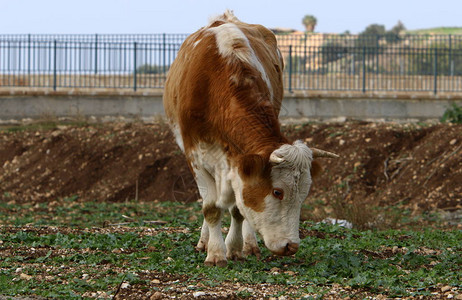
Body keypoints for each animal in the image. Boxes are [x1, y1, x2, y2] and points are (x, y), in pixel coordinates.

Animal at [164, 10, 338, 266]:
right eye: (277, 192)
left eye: (304, 194)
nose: (291, 246)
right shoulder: (195, 156)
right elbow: (211, 208)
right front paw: (215, 253)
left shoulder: (240, 164)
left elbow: (239, 209)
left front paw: (236, 248)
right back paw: (204, 242)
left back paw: (249, 244)